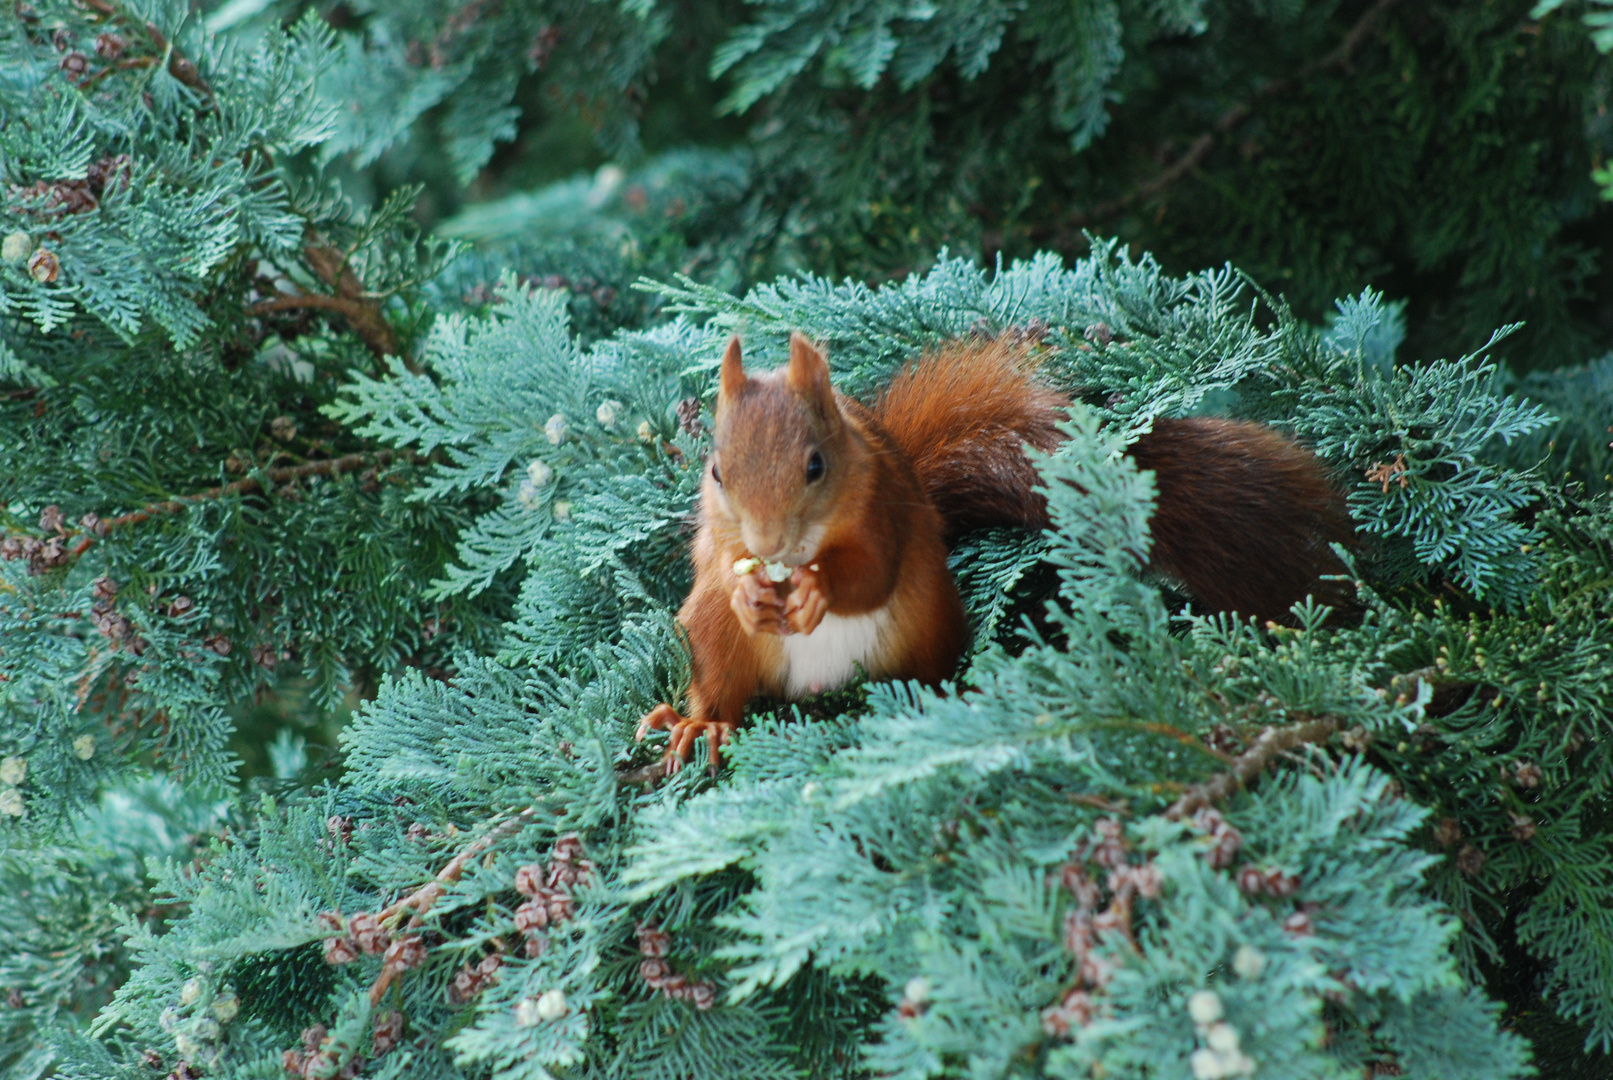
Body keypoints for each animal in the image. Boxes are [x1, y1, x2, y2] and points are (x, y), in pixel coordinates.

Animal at [635, 330, 1354, 770]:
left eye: (816, 465)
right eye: (716, 471)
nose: (766, 543)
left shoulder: (883, 509)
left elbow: (870, 573)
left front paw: (818, 590)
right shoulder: (717, 537)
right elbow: (714, 567)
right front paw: (746, 588)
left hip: (926, 625)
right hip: (710, 636)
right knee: (719, 685)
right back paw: (700, 725)